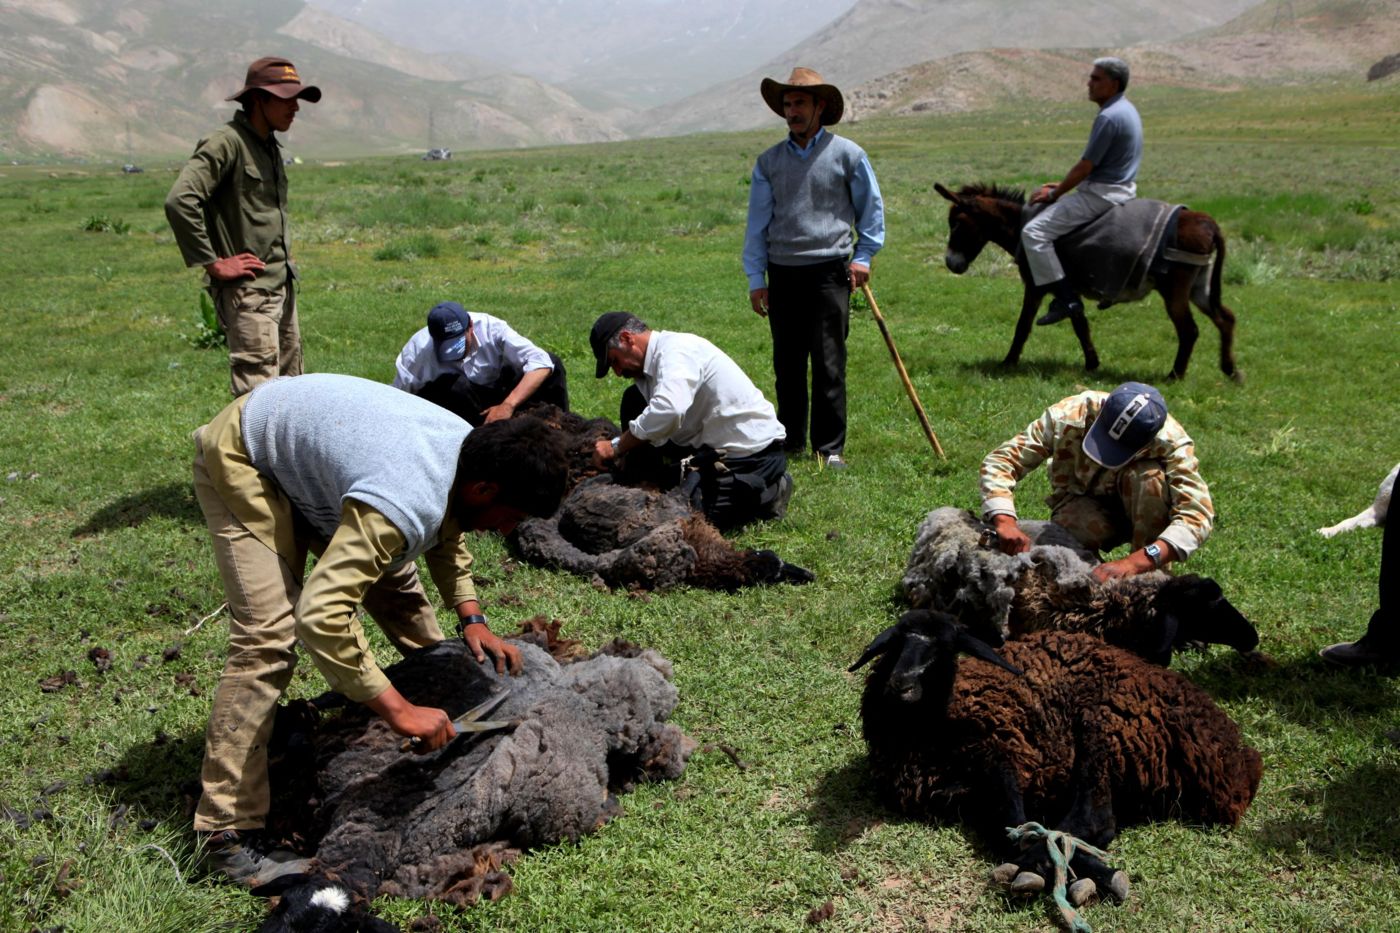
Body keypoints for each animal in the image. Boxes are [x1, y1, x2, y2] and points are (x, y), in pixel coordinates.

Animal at [845, 607, 1265, 913]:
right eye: (898, 642)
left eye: (946, 647)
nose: (901, 685)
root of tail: (1233, 760)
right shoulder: (956, 793)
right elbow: (1007, 828)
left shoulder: (1001, 752)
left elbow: (1016, 826)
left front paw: (1049, 865)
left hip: (1103, 727)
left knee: (1094, 819)